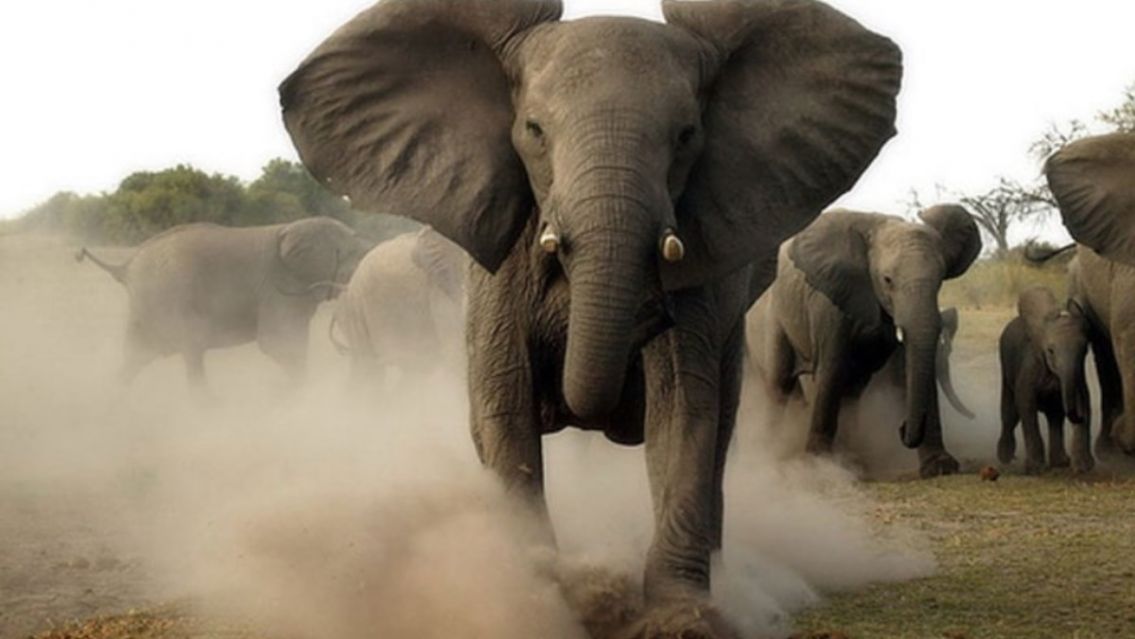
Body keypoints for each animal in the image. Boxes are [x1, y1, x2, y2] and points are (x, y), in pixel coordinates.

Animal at [76, 218, 371, 385]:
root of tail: (125, 266)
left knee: (134, 359)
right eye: (356, 257)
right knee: (190, 352)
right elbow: (279, 344)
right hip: (170, 300)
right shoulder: (279, 285)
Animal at [745, 206, 981, 478]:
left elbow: (906, 370)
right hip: (769, 319)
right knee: (779, 384)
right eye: (887, 280)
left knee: (852, 388)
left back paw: (851, 461)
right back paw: (772, 455)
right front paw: (815, 466)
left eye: (941, 281)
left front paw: (940, 467)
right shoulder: (829, 301)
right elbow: (831, 368)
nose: (902, 430)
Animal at [997, 287, 1092, 474]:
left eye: (1085, 350)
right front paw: (1035, 468)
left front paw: (1083, 468)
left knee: (1055, 416)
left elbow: (1085, 399)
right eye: (1050, 351)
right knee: (1010, 413)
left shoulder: (1078, 373)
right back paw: (1004, 458)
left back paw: (1060, 462)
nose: (1077, 417)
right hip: (1005, 364)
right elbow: (1025, 403)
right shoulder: (1031, 365)